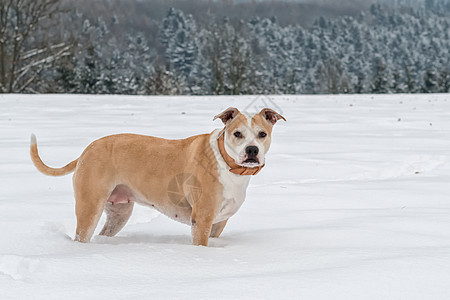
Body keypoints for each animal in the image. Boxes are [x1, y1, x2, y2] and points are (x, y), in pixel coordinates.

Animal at [30, 108, 284, 246]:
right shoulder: (202, 219)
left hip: (119, 211)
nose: (252, 150)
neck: (228, 164)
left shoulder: (218, 222)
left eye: (262, 134)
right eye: (237, 134)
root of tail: (86, 150)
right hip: (89, 206)